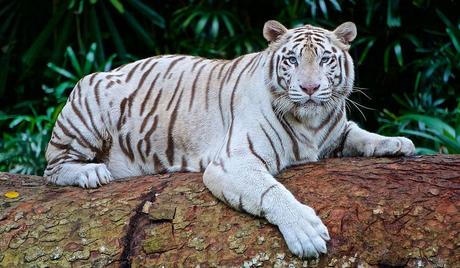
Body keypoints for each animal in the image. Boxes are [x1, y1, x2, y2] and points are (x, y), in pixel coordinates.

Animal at [45, 21, 416, 258]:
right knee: (53, 168)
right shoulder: (234, 160)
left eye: (325, 59)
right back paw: (91, 173)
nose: (310, 88)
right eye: (292, 59)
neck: (310, 123)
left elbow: (360, 134)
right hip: (89, 103)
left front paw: (398, 142)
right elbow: (272, 191)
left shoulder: (335, 131)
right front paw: (306, 233)